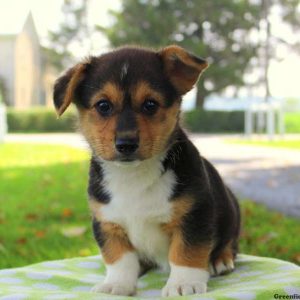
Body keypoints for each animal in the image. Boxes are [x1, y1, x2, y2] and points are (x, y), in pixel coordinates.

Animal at [53, 45, 239, 296]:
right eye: (103, 105)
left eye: (150, 104)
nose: (126, 144)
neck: (133, 176)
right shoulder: (107, 222)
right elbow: (119, 259)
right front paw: (117, 284)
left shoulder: (195, 215)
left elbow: (186, 253)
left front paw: (183, 284)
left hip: (231, 211)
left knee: (230, 242)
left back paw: (220, 260)